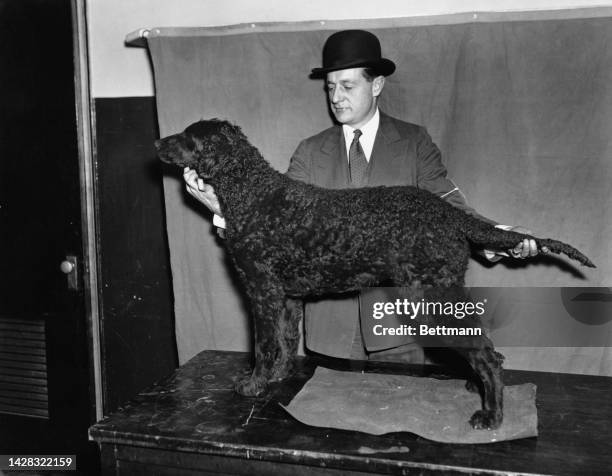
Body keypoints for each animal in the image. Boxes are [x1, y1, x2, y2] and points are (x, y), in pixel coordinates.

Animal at [155, 119, 596, 432]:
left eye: (188, 136)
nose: (157, 143)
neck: (252, 192)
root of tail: (449, 212)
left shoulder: (261, 289)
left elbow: (263, 344)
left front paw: (253, 384)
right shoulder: (286, 296)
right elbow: (284, 340)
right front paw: (279, 376)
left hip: (429, 298)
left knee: (484, 351)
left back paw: (492, 415)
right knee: (484, 344)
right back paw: (480, 389)